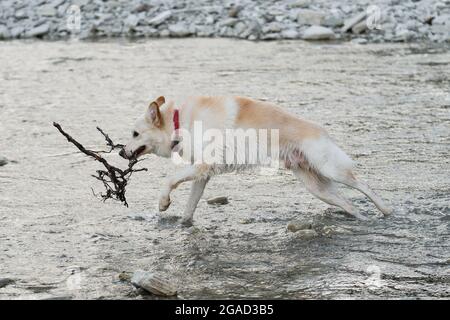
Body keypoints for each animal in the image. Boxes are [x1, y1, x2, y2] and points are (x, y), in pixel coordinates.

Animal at [121, 95, 392, 225]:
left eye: (134, 134)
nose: (122, 153)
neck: (180, 122)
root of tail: (322, 130)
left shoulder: (202, 166)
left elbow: (169, 180)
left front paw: (163, 203)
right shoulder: (202, 174)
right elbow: (191, 205)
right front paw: (183, 224)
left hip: (331, 169)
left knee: (363, 185)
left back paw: (387, 210)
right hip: (317, 187)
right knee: (350, 205)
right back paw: (364, 219)